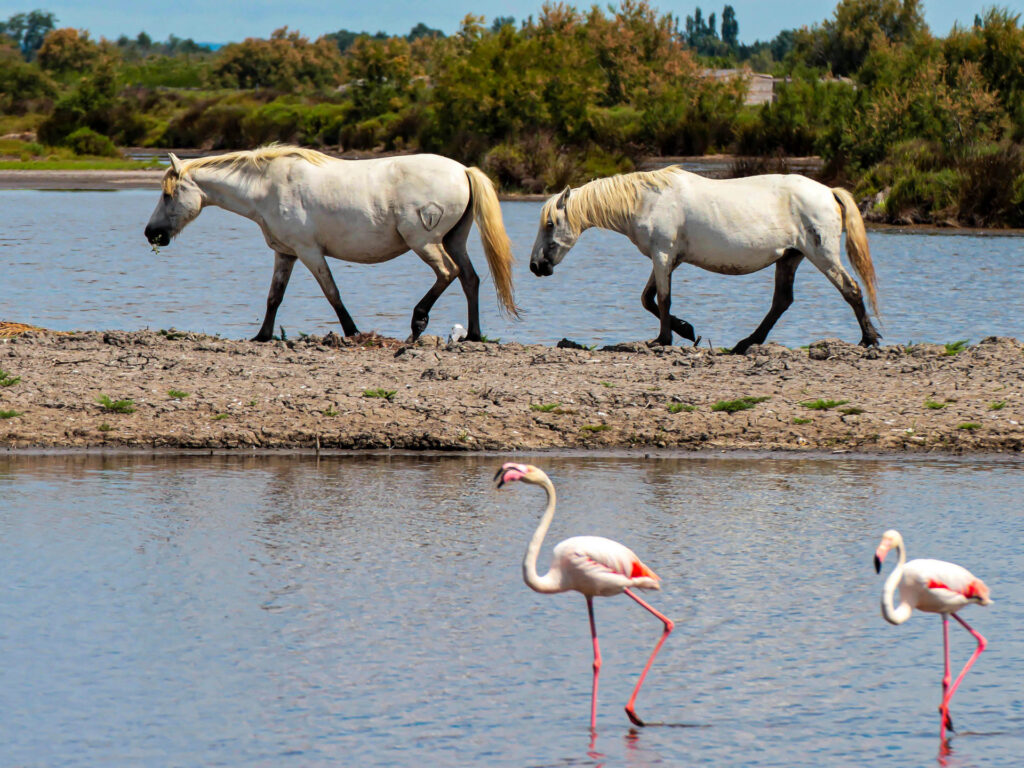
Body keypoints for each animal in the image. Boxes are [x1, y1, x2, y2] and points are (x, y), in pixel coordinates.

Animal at [144, 145, 519, 342]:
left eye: (167, 195)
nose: (151, 234)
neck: (267, 187)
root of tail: (463, 170)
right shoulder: (286, 253)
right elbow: (274, 297)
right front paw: (262, 336)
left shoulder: (309, 252)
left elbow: (332, 293)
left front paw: (352, 331)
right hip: (454, 239)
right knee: (469, 278)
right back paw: (473, 335)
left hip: (424, 241)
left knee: (447, 273)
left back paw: (418, 324)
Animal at [529, 167, 880, 353]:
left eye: (550, 224)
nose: (536, 266)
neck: (646, 200)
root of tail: (829, 191)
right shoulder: (669, 259)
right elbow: (648, 299)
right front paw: (686, 330)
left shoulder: (663, 255)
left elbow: (663, 299)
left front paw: (664, 339)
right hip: (790, 258)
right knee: (781, 301)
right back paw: (745, 343)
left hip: (822, 254)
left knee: (850, 289)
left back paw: (868, 339)